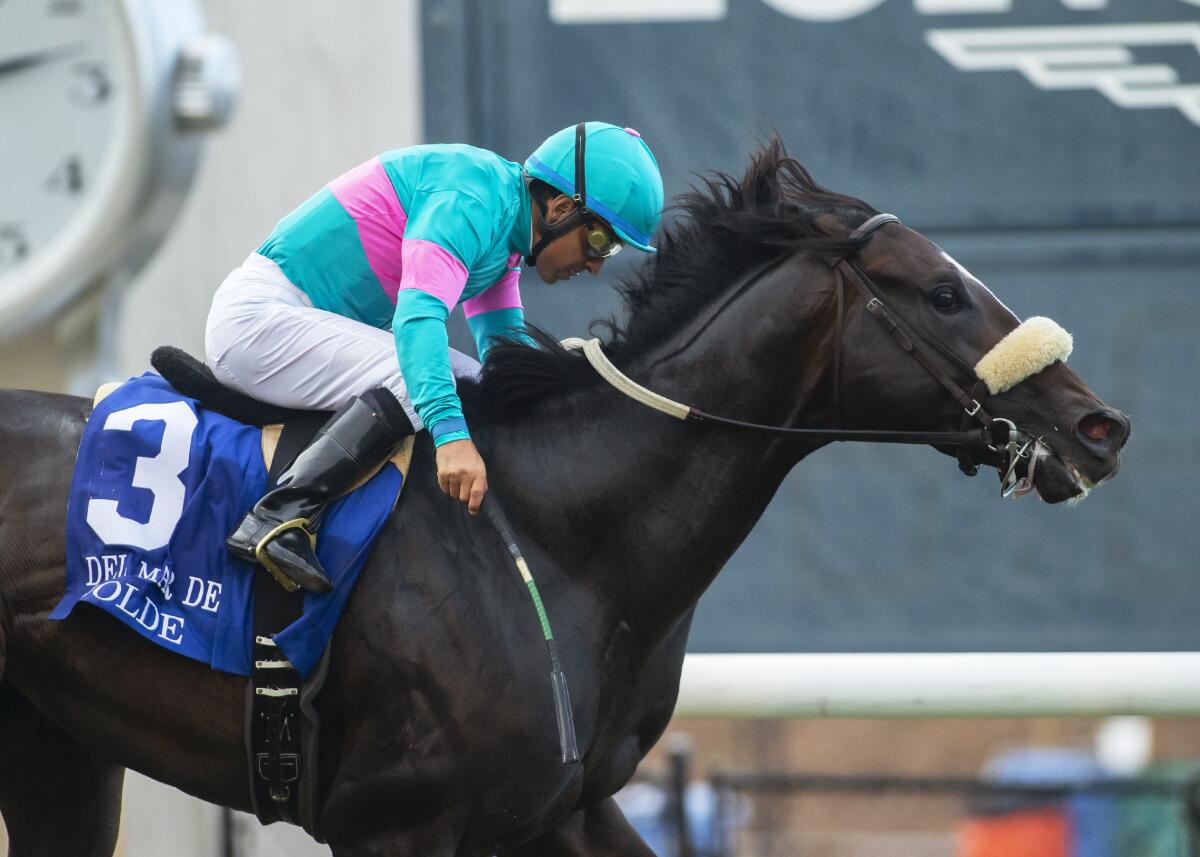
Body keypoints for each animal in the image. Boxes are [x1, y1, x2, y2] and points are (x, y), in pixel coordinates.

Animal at [0, 141, 1128, 854]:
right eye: (942, 292)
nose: (1098, 425)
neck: (558, 537)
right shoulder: (394, 822)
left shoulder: (559, 808)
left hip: (62, 752)